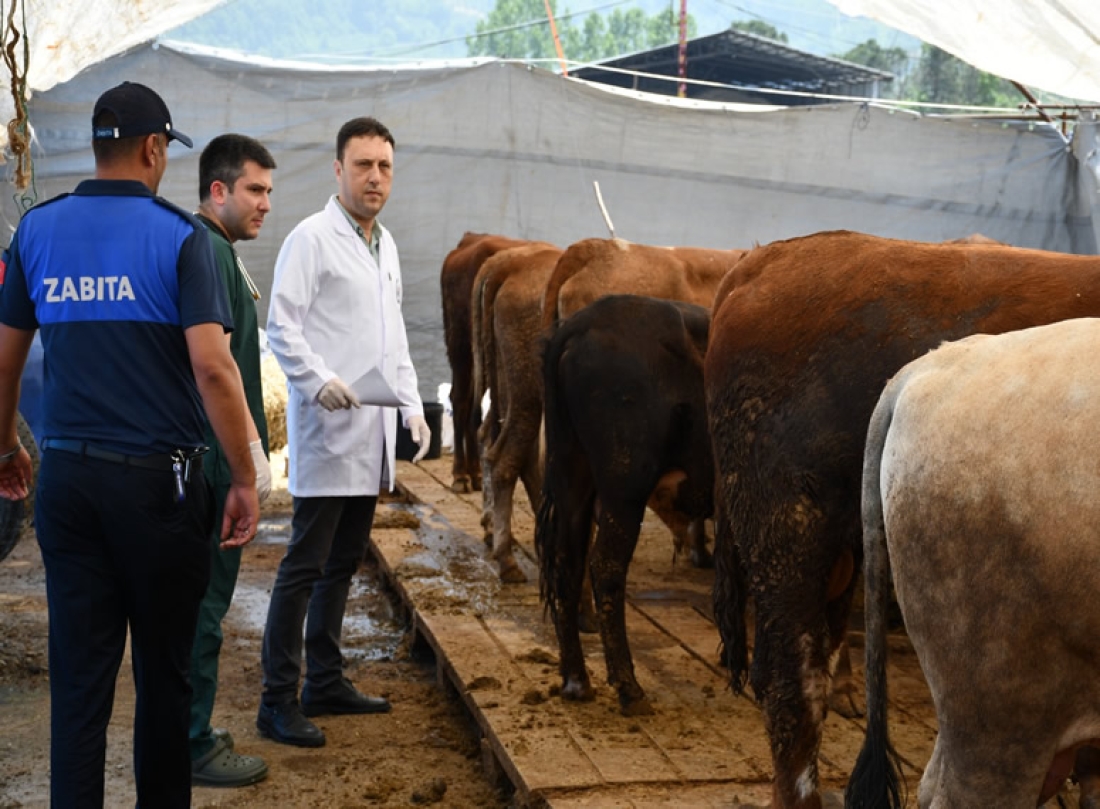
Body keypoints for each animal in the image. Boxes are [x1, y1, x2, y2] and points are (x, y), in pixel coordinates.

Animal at [534, 294, 712, 713]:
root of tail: (584, 321)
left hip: (573, 476)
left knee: (567, 563)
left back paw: (577, 680)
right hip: (624, 487)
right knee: (605, 567)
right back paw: (629, 687)